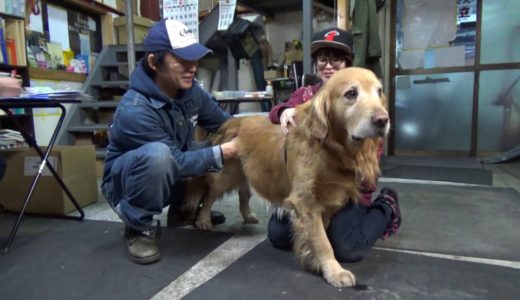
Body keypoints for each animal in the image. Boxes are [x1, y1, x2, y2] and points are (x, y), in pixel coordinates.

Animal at [181, 67, 388, 288]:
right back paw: (204, 220)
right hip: (226, 175)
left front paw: (313, 259)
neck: (330, 147)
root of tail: (233, 120)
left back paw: (247, 215)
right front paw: (334, 271)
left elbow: (320, 235)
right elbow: (323, 242)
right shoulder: (306, 201)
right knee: (209, 195)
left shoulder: (326, 201)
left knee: (243, 193)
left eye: (379, 92)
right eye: (351, 93)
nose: (383, 120)